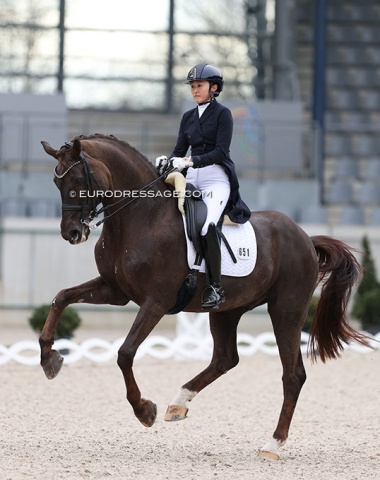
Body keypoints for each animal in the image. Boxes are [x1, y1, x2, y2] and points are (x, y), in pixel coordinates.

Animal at [40, 133, 370, 460]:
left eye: (79, 179)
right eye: (55, 182)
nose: (71, 233)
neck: (141, 218)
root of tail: (306, 238)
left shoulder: (155, 302)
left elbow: (125, 353)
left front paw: (144, 410)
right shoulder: (115, 290)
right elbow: (61, 297)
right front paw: (49, 358)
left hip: (286, 311)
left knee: (293, 375)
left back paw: (273, 443)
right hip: (227, 310)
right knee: (225, 359)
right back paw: (179, 403)